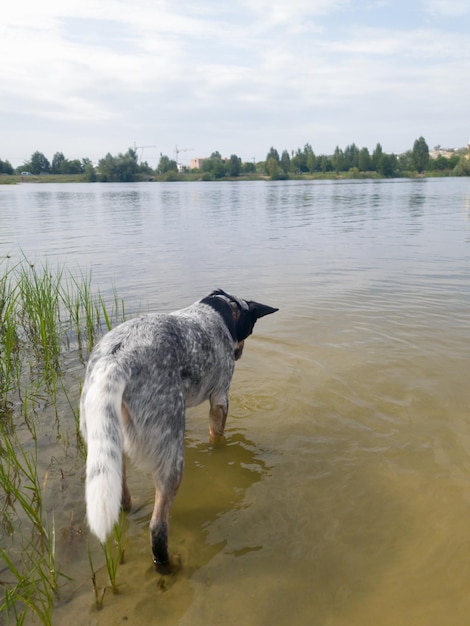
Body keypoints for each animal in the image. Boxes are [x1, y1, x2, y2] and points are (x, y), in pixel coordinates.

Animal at [80, 288, 278, 572]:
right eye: (249, 329)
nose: (239, 353)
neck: (222, 310)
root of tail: (116, 360)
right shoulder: (220, 398)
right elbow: (217, 436)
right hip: (170, 457)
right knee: (158, 526)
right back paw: (167, 564)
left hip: (106, 442)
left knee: (121, 497)